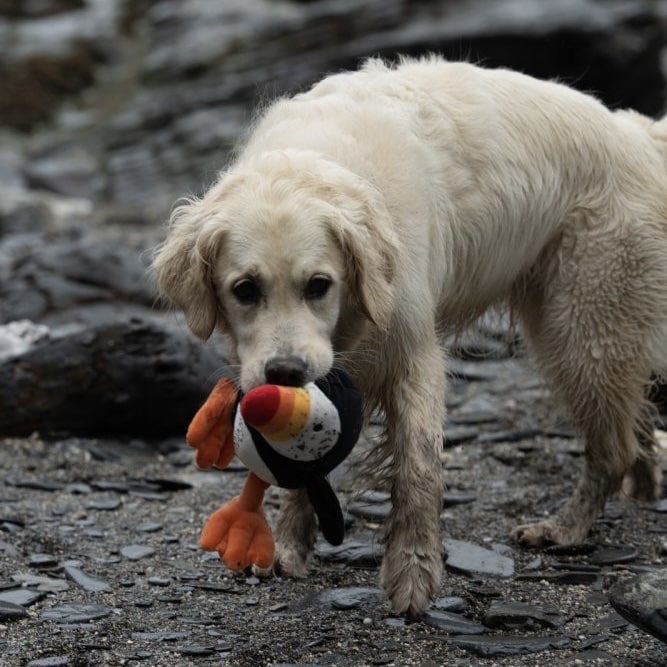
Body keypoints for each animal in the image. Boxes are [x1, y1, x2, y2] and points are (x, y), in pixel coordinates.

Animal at [154, 57, 667, 616]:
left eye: (319, 285)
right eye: (244, 289)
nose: (286, 373)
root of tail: (640, 135)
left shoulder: (413, 351)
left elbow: (418, 466)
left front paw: (414, 574)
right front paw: (289, 546)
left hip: (580, 326)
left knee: (610, 446)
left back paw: (563, 528)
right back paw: (643, 485)